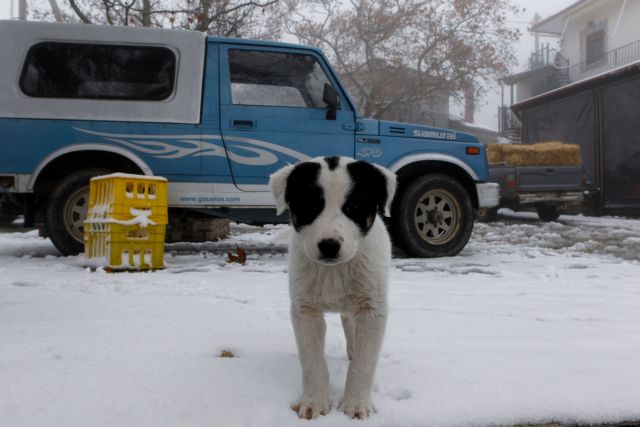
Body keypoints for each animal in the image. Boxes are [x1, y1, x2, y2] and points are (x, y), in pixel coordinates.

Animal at [268, 155, 396, 420]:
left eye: (354, 205)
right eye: (309, 205)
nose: (329, 245)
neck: (334, 271)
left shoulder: (373, 309)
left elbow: (364, 363)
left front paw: (355, 405)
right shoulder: (305, 310)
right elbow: (313, 362)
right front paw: (314, 404)